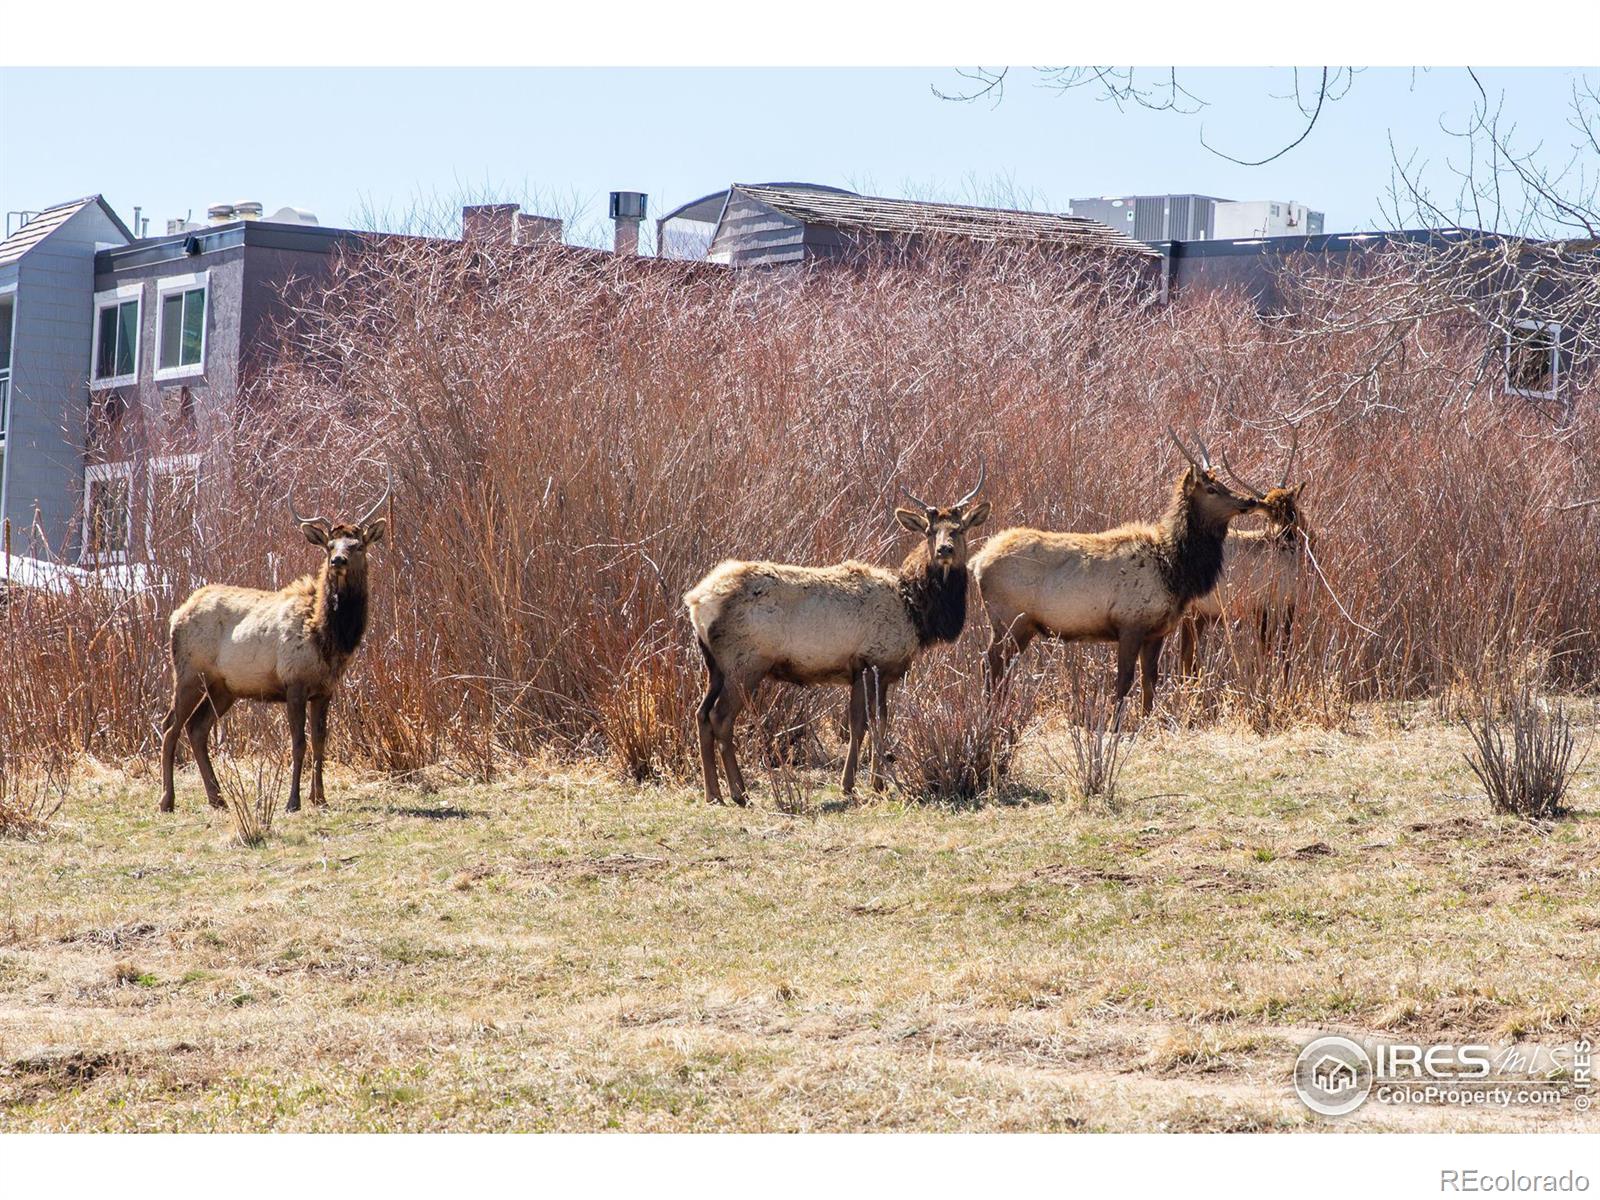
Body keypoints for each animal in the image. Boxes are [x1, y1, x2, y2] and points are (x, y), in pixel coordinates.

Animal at [156, 480, 393, 819]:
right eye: (329, 546)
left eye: (357, 545)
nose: (338, 561)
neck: (328, 638)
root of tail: (176, 614)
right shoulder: (294, 682)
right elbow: (298, 743)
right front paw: (292, 801)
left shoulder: (325, 689)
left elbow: (320, 742)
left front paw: (320, 798)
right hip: (190, 673)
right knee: (170, 726)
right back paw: (167, 800)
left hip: (224, 687)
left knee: (197, 728)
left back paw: (218, 799)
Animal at [684, 464, 985, 803]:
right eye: (930, 532)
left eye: (959, 529)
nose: (945, 549)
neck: (916, 611)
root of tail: (696, 601)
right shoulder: (872, 662)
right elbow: (868, 724)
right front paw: (864, 784)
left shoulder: (868, 670)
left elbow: (869, 723)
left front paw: (864, 784)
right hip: (745, 663)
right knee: (720, 718)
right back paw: (738, 791)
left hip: (714, 666)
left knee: (700, 714)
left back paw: (713, 793)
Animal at [966, 435, 1267, 710]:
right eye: (1211, 488)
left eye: (1223, 482)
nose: (1250, 500)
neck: (1176, 569)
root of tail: (978, 561)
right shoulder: (1130, 623)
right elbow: (1124, 682)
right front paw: (1116, 726)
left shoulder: (1156, 631)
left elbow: (1150, 681)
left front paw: (1146, 721)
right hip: (1008, 619)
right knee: (989, 663)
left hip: (1022, 626)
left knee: (998, 666)